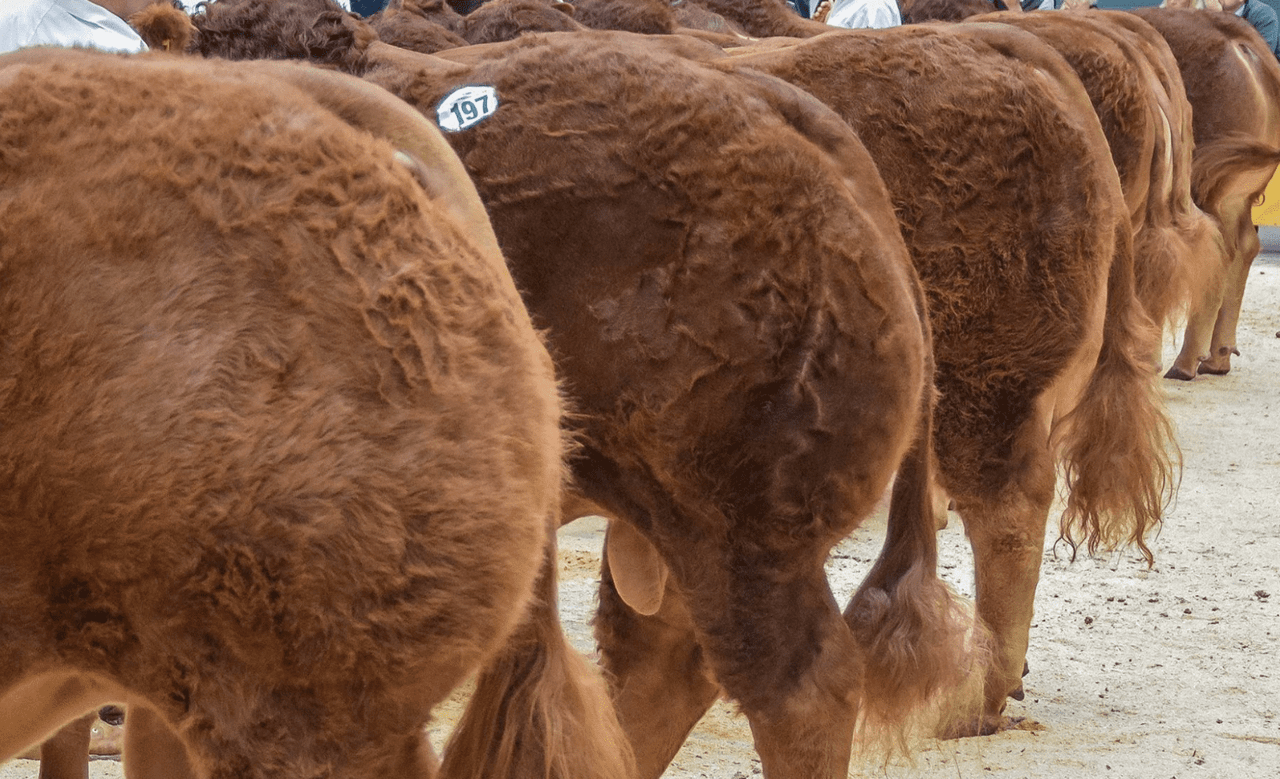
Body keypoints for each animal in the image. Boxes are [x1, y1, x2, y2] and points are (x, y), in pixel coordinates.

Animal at [1131, 7, 1280, 379]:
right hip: (1234, 188)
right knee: (1242, 246)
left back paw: (1184, 363)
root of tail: (1236, 36)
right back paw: (1216, 357)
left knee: (1214, 249)